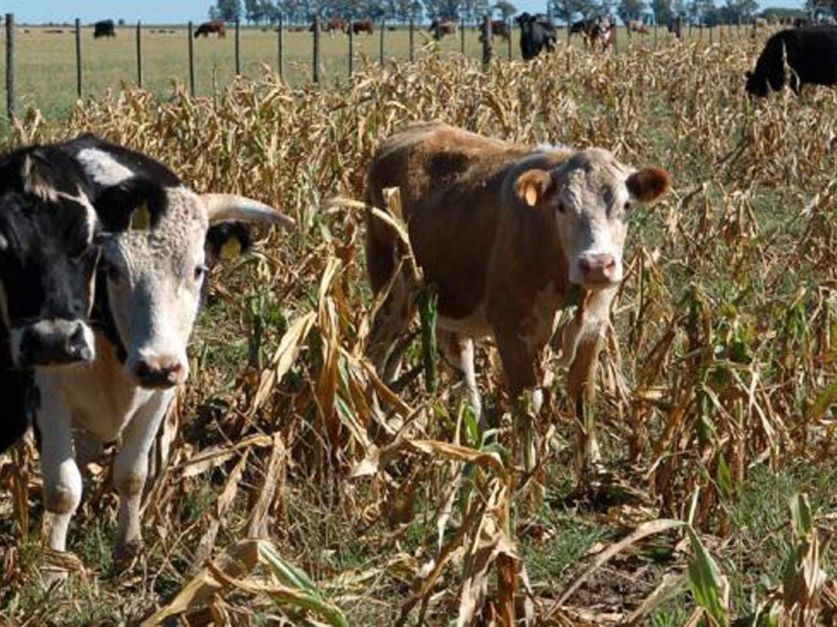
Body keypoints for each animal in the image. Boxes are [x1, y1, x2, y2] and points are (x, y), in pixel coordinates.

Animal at [0, 136, 294, 568]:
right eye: (113, 270)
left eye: (198, 270)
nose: (156, 366)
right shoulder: (47, 393)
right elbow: (64, 488)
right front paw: (54, 563)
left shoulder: (162, 392)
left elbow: (132, 474)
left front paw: (127, 548)